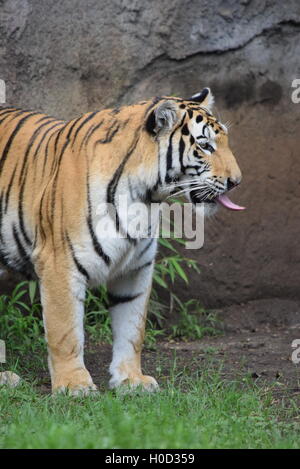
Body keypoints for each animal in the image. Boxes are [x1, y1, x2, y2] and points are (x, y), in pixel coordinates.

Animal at [0, 87, 244, 392]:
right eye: (206, 146)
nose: (237, 182)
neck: (145, 197)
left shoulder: (136, 268)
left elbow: (132, 327)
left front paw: (131, 379)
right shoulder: (59, 264)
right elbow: (65, 331)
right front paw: (74, 385)